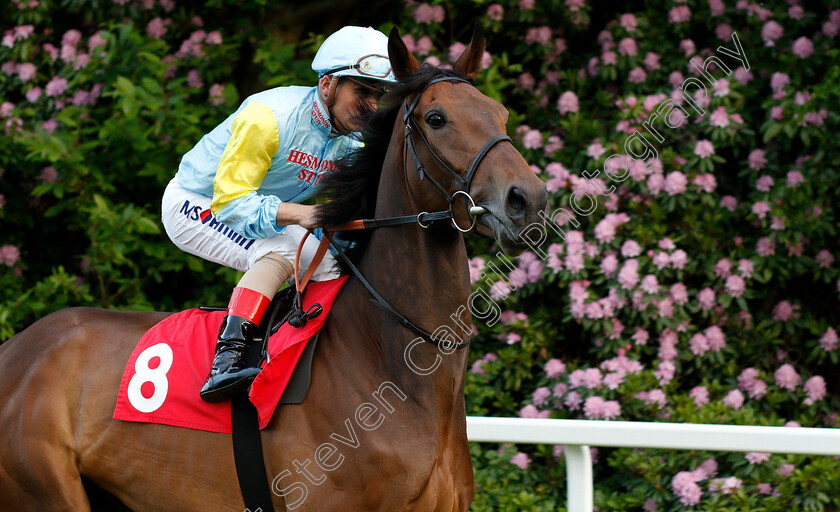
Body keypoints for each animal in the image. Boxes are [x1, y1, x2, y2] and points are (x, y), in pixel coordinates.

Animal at [0, 25, 548, 512]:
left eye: (500, 112)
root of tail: (17, 349)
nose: (529, 200)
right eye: (436, 117)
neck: (388, 359)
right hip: (44, 491)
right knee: (277, 251)